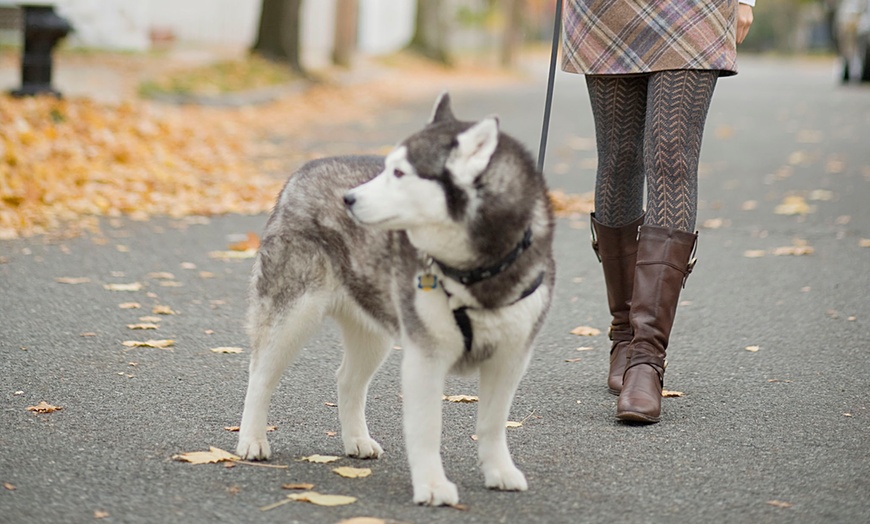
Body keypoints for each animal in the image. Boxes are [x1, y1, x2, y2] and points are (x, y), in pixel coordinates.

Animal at [235, 92, 556, 506]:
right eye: (387, 168)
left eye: (400, 173)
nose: (348, 199)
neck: (476, 270)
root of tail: (305, 170)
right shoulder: (426, 357)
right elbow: (427, 430)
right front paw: (433, 486)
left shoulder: (511, 357)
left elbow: (493, 424)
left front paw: (499, 471)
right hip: (291, 315)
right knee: (260, 375)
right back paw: (251, 440)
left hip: (375, 331)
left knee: (347, 379)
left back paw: (356, 440)